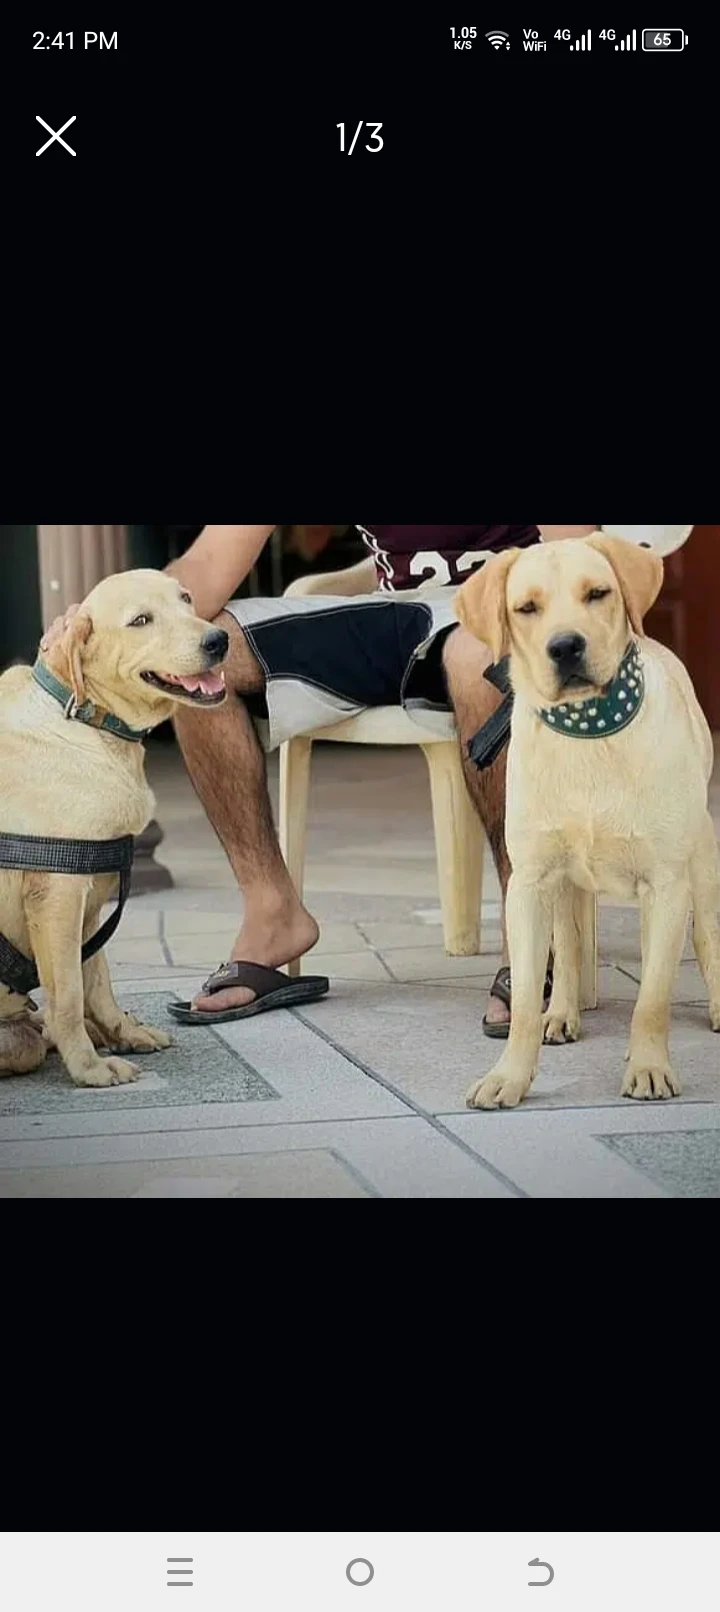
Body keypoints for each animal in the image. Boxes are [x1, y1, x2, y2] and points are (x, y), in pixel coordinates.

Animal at [0, 573, 228, 1089]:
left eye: (186, 599)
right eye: (140, 620)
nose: (218, 640)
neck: (86, 720)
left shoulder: (91, 899)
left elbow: (97, 982)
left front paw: (122, 1032)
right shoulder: (59, 893)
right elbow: (68, 994)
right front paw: (88, 1067)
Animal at [457, 538, 720, 1109]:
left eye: (597, 593)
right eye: (526, 608)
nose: (565, 647)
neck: (590, 734)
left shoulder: (666, 886)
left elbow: (652, 998)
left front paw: (648, 1069)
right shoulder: (529, 884)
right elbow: (526, 1000)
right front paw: (509, 1075)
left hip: (703, 866)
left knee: (708, 937)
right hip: (563, 883)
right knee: (570, 945)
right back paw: (562, 1013)